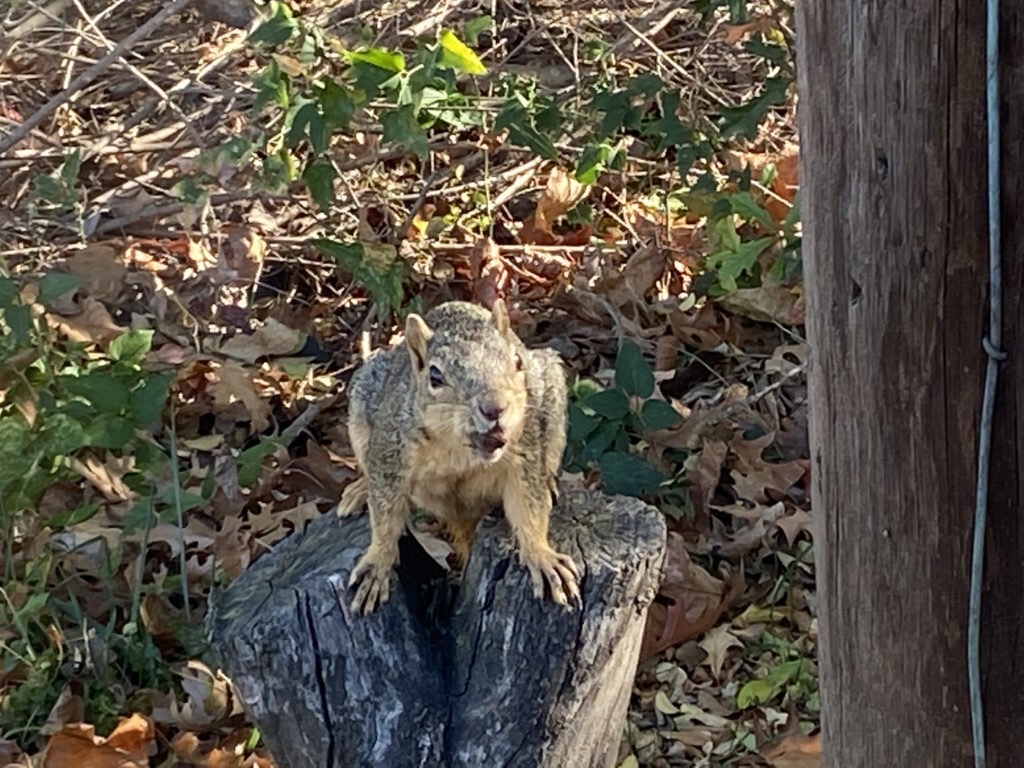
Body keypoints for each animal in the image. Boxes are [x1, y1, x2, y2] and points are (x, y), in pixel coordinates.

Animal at [333, 296, 577, 618]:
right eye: (435, 376)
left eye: (516, 362)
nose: (495, 407)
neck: (459, 448)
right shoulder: (391, 452)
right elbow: (385, 515)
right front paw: (378, 563)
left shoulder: (524, 451)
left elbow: (528, 506)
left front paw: (541, 555)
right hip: (363, 401)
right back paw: (361, 489)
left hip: (552, 397)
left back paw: (550, 483)